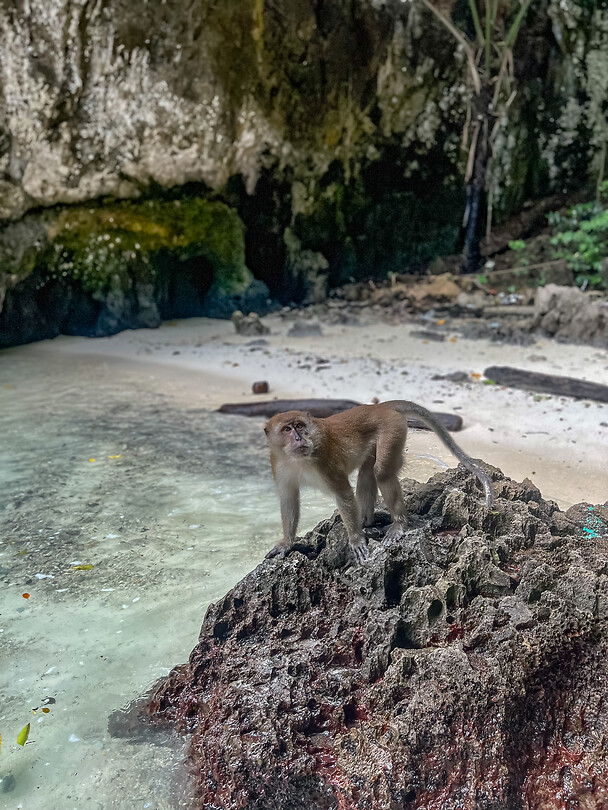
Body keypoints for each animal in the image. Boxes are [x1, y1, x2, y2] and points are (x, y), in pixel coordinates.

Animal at [264, 400, 494, 564]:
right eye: (287, 430)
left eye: (299, 426)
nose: (299, 438)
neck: (299, 460)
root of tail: (378, 406)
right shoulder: (279, 464)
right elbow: (289, 499)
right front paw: (286, 544)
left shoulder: (324, 460)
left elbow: (343, 493)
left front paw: (355, 539)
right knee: (368, 472)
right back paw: (366, 521)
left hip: (393, 429)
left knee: (381, 472)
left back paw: (398, 523)